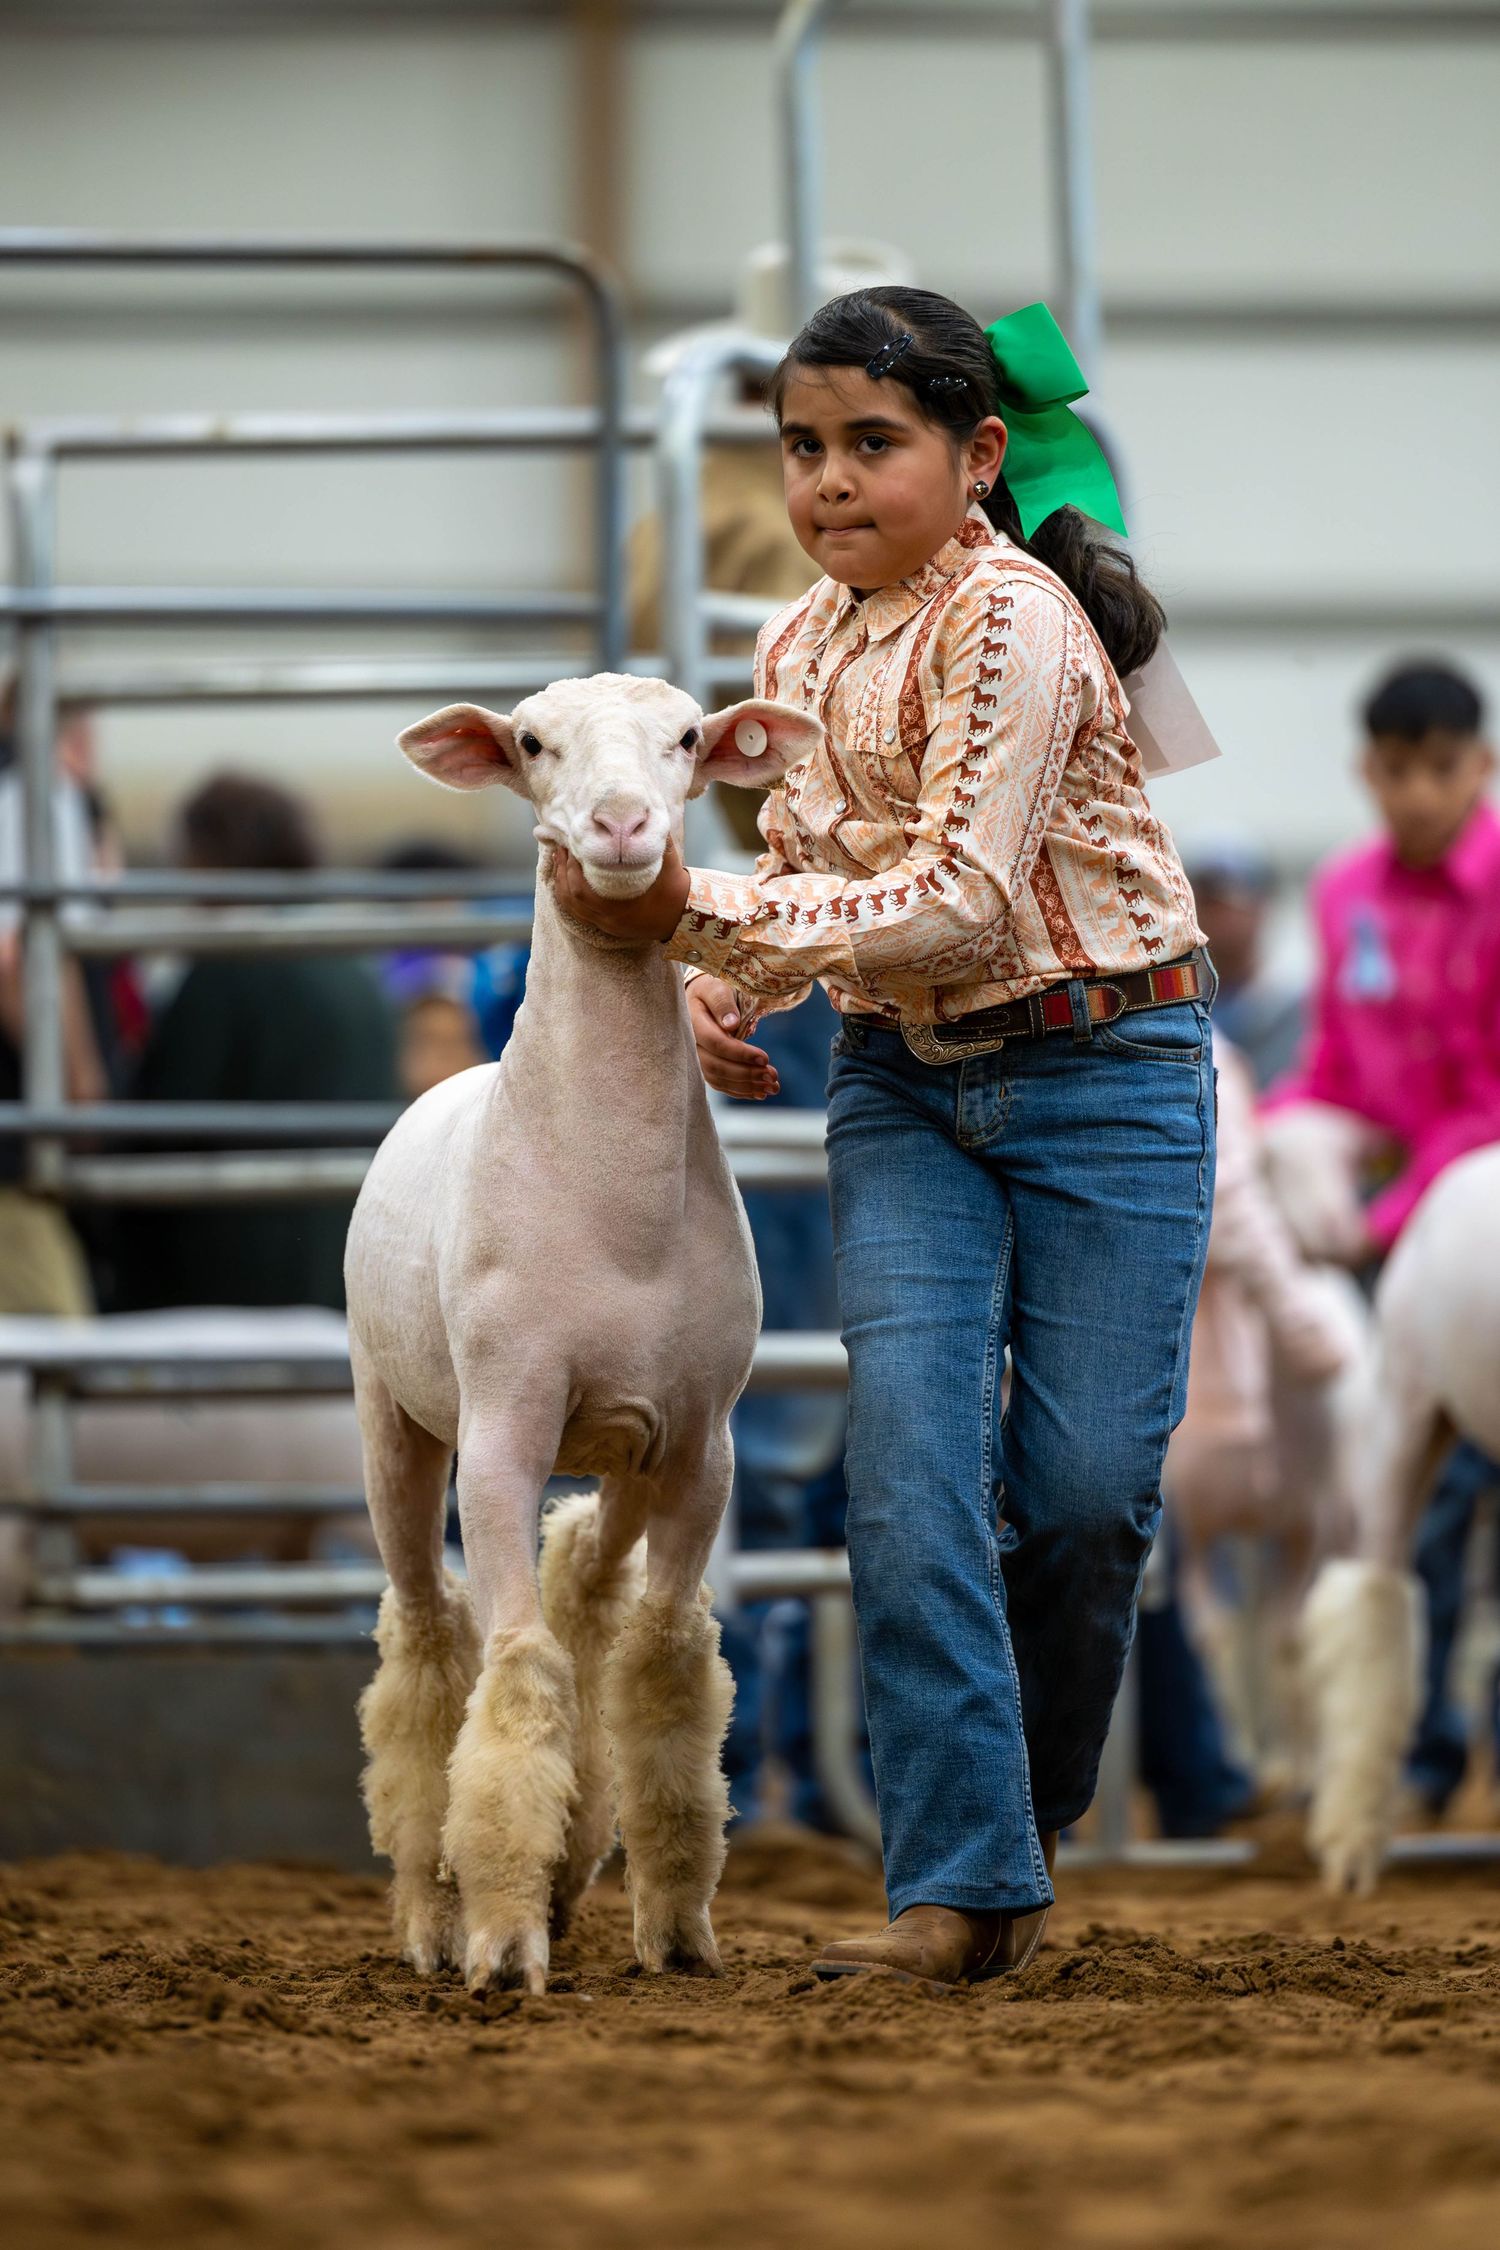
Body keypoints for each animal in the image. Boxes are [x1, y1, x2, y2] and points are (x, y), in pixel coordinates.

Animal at [344, 674, 822, 1992]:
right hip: (393, 1417)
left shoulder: (702, 1437)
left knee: (591, 1592)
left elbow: (657, 1667)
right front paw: (503, 1941)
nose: (618, 828)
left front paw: (680, 1927)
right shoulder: (506, 1425)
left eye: (687, 738)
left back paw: (570, 1867)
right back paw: (430, 1910)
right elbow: (517, 1670)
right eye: (532, 742)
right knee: (427, 1640)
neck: (612, 1206)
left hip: (621, 1445)